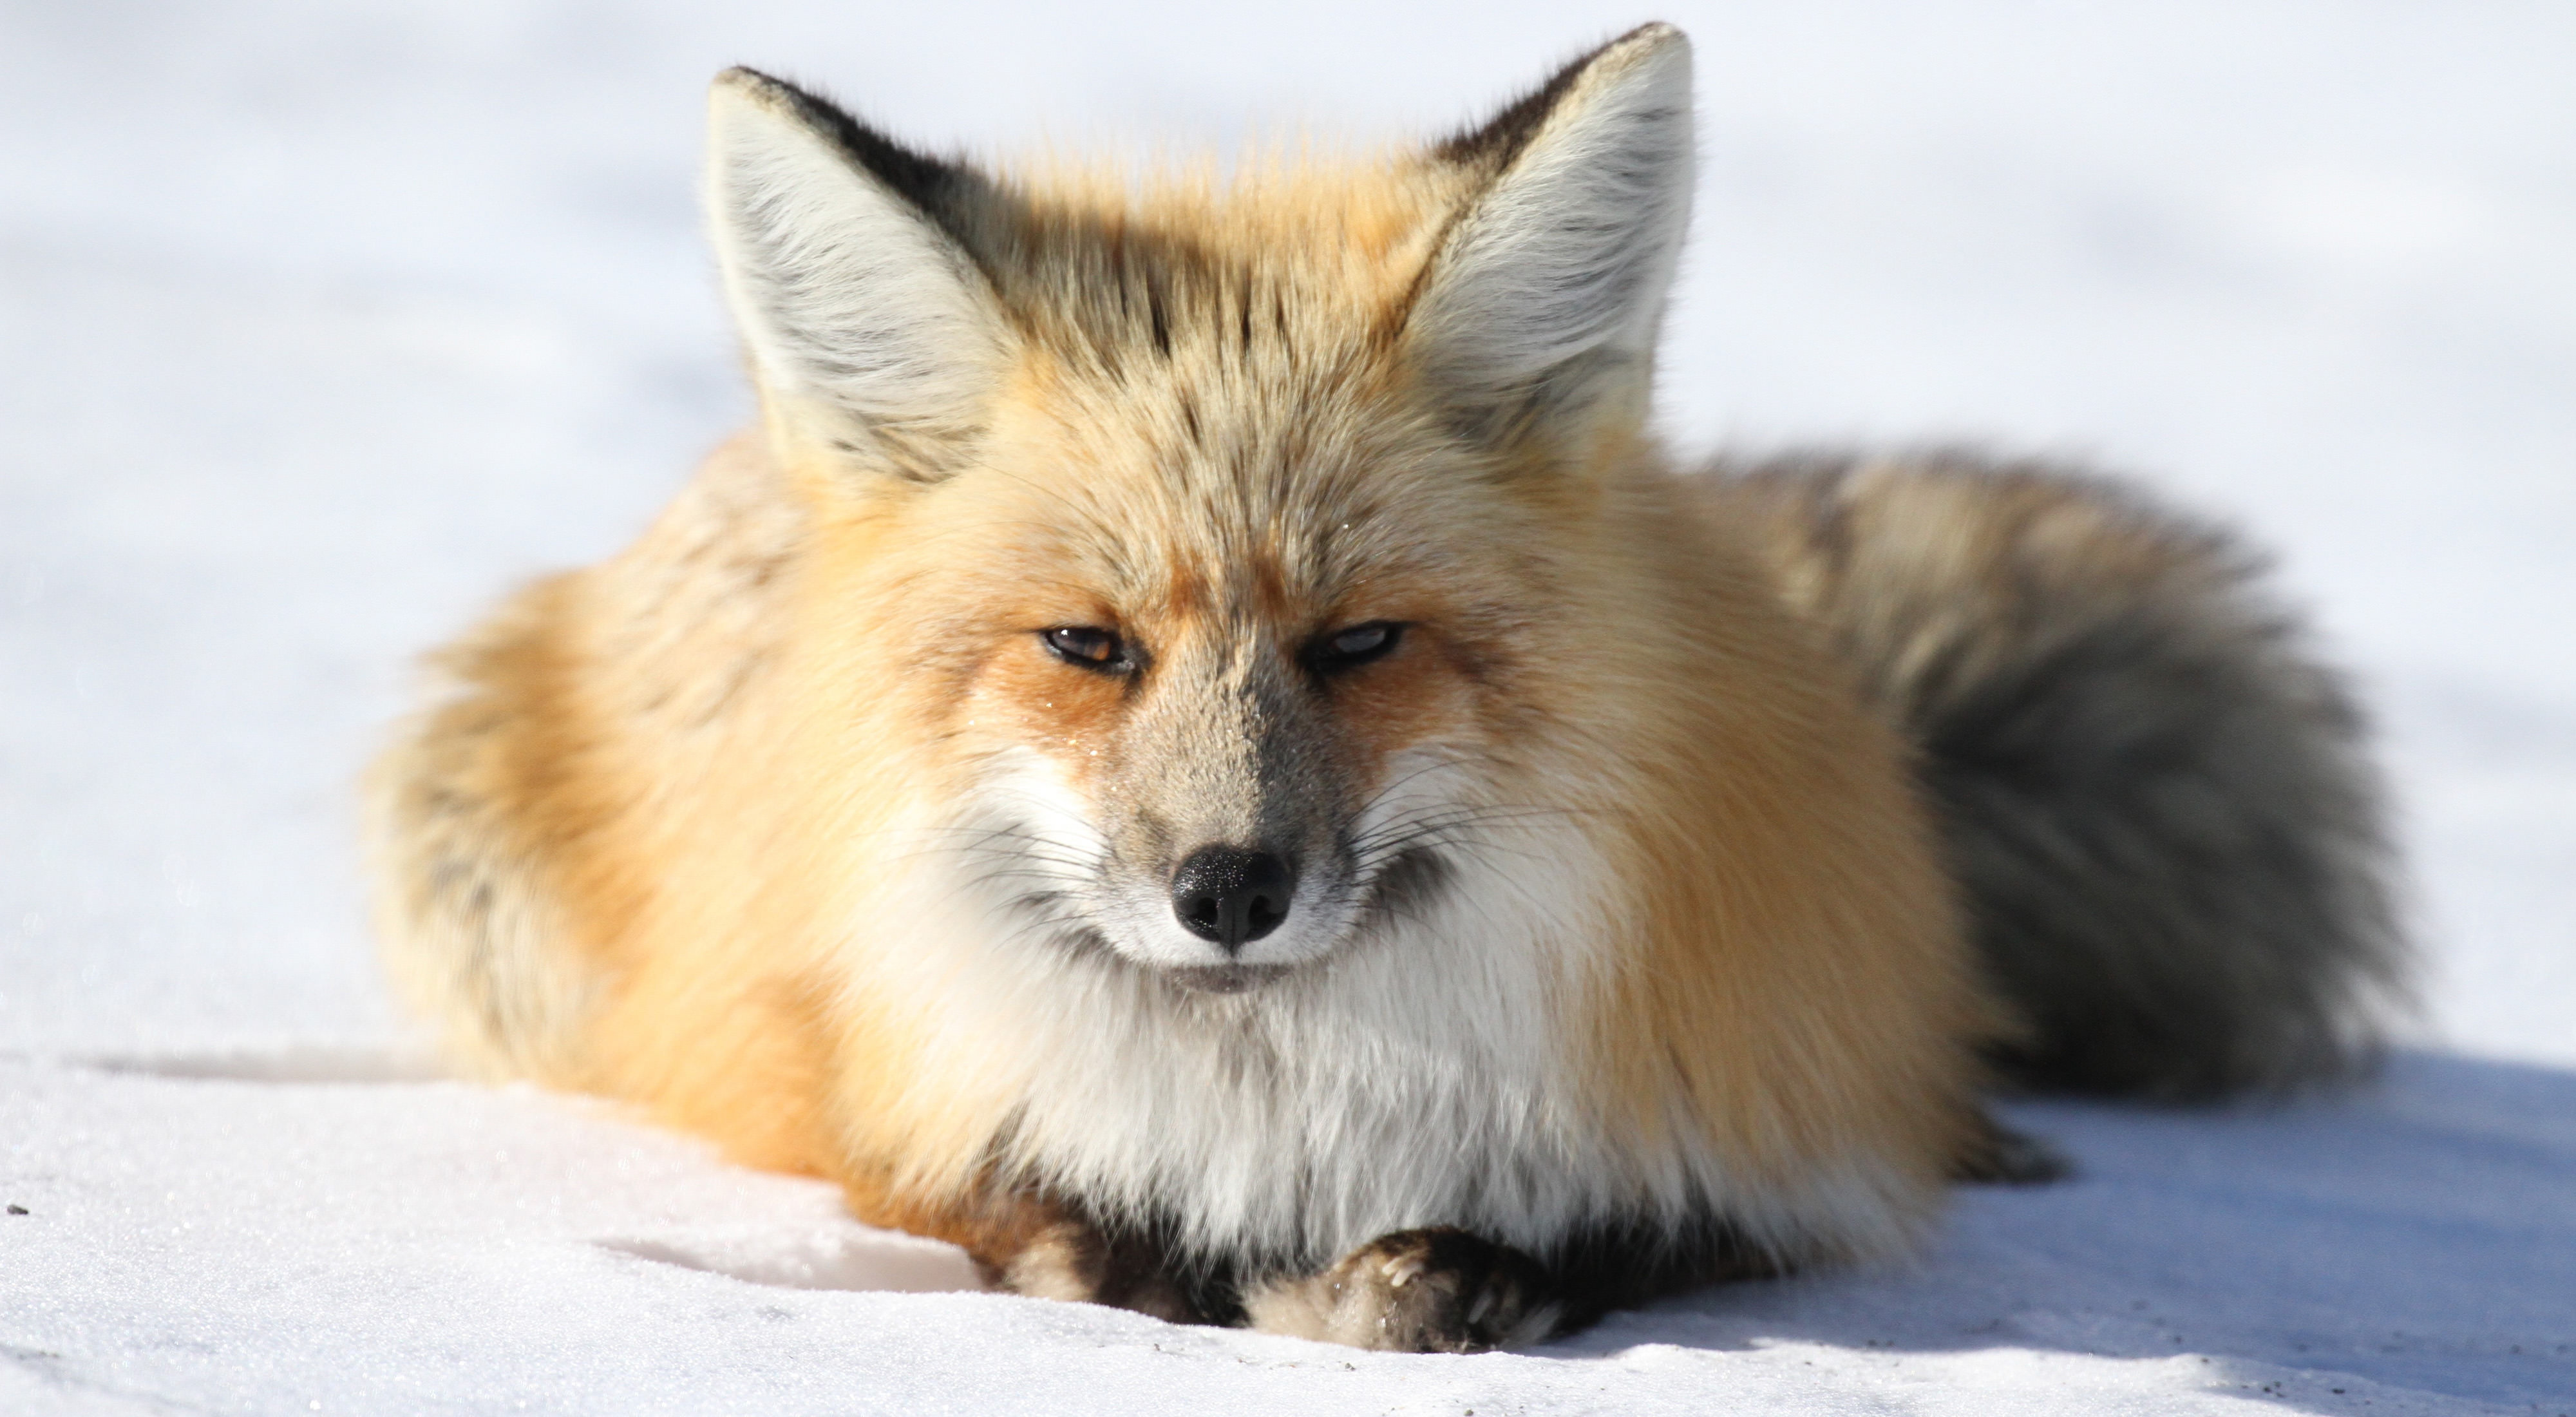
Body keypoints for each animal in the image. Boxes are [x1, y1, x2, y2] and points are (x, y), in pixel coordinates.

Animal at [363, 22, 2391, 1360]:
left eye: (1358, 643)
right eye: (1090, 647)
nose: (1227, 890)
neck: (1296, 1108)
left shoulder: (1769, 1138)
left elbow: (1585, 1246)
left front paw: (1426, 1280)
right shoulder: (850, 1084)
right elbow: (1041, 1227)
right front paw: (1145, 1274)